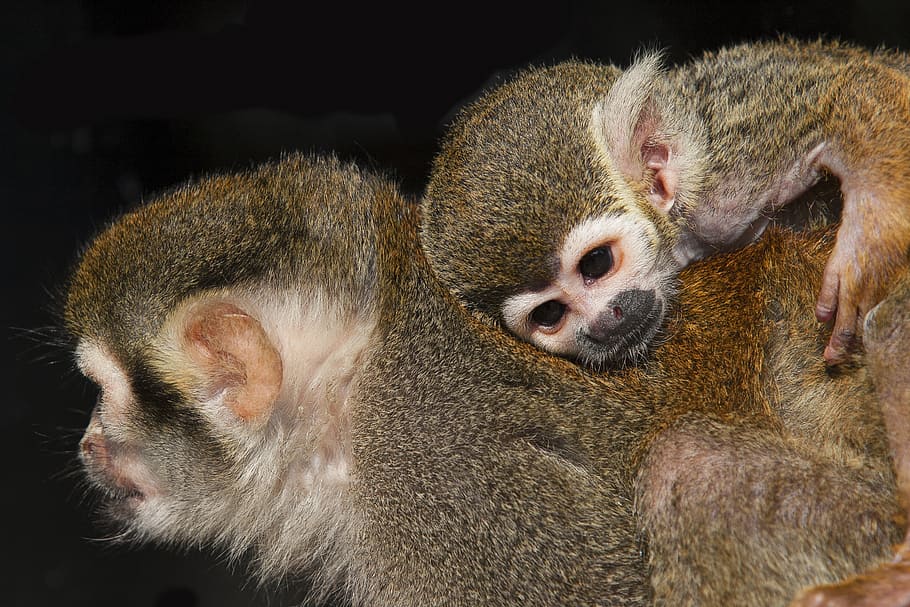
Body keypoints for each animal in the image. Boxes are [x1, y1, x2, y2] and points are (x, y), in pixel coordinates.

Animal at [421, 37, 910, 370]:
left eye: (596, 263)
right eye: (549, 313)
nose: (604, 323)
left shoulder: (728, 181)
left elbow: (854, 85)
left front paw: (869, 244)